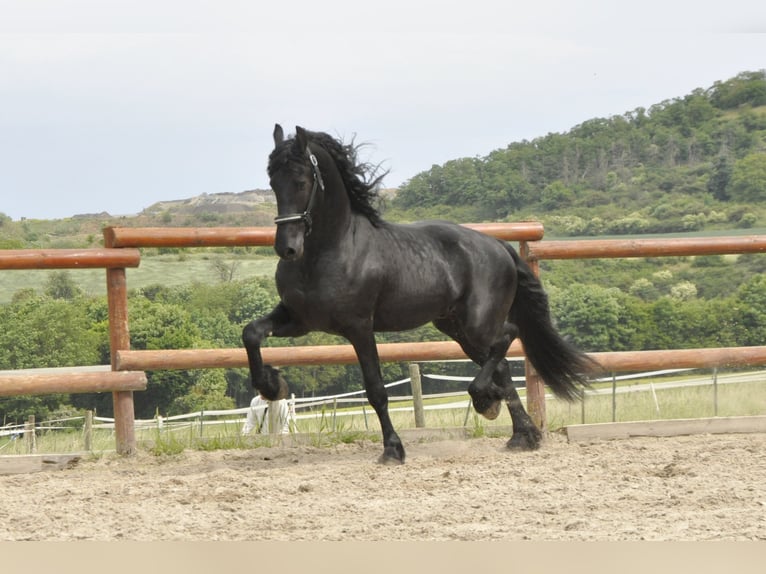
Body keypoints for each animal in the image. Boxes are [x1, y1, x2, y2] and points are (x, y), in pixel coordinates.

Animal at [242, 124, 596, 464]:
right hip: (456, 328)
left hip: (477, 324)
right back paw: (522, 435)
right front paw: (272, 385)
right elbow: (251, 333)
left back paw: (487, 402)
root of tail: (499, 246)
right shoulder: (300, 319)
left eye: (301, 181)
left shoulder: (359, 327)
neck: (329, 251)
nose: (287, 248)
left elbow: (376, 389)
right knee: (503, 366)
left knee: (507, 337)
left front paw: (393, 450)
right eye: (273, 182)